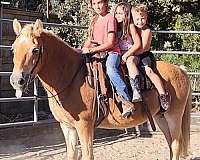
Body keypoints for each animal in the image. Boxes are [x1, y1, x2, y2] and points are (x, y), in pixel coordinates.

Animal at [10, 19, 191, 160]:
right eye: (13, 48)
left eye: (35, 50)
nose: (16, 80)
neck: (71, 76)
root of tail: (181, 70)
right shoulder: (67, 127)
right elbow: (71, 154)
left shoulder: (84, 126)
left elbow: (87, 155)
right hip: (161, 117)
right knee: (171, 144)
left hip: (173, 117)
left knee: (176, 145)